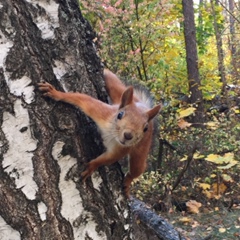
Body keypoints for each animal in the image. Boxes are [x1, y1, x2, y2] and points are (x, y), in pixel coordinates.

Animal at [38, 69, 161, 197]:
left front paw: (92, 166)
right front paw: (56, 93)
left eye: (145, 128)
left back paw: (128, 182)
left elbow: (107, 159)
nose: (128, 136)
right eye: (120, 115)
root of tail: (141, 104)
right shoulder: (101, 112)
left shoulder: (121, 148)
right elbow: (81, 99)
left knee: (137, 169)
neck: (111, 133)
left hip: (141, 150)